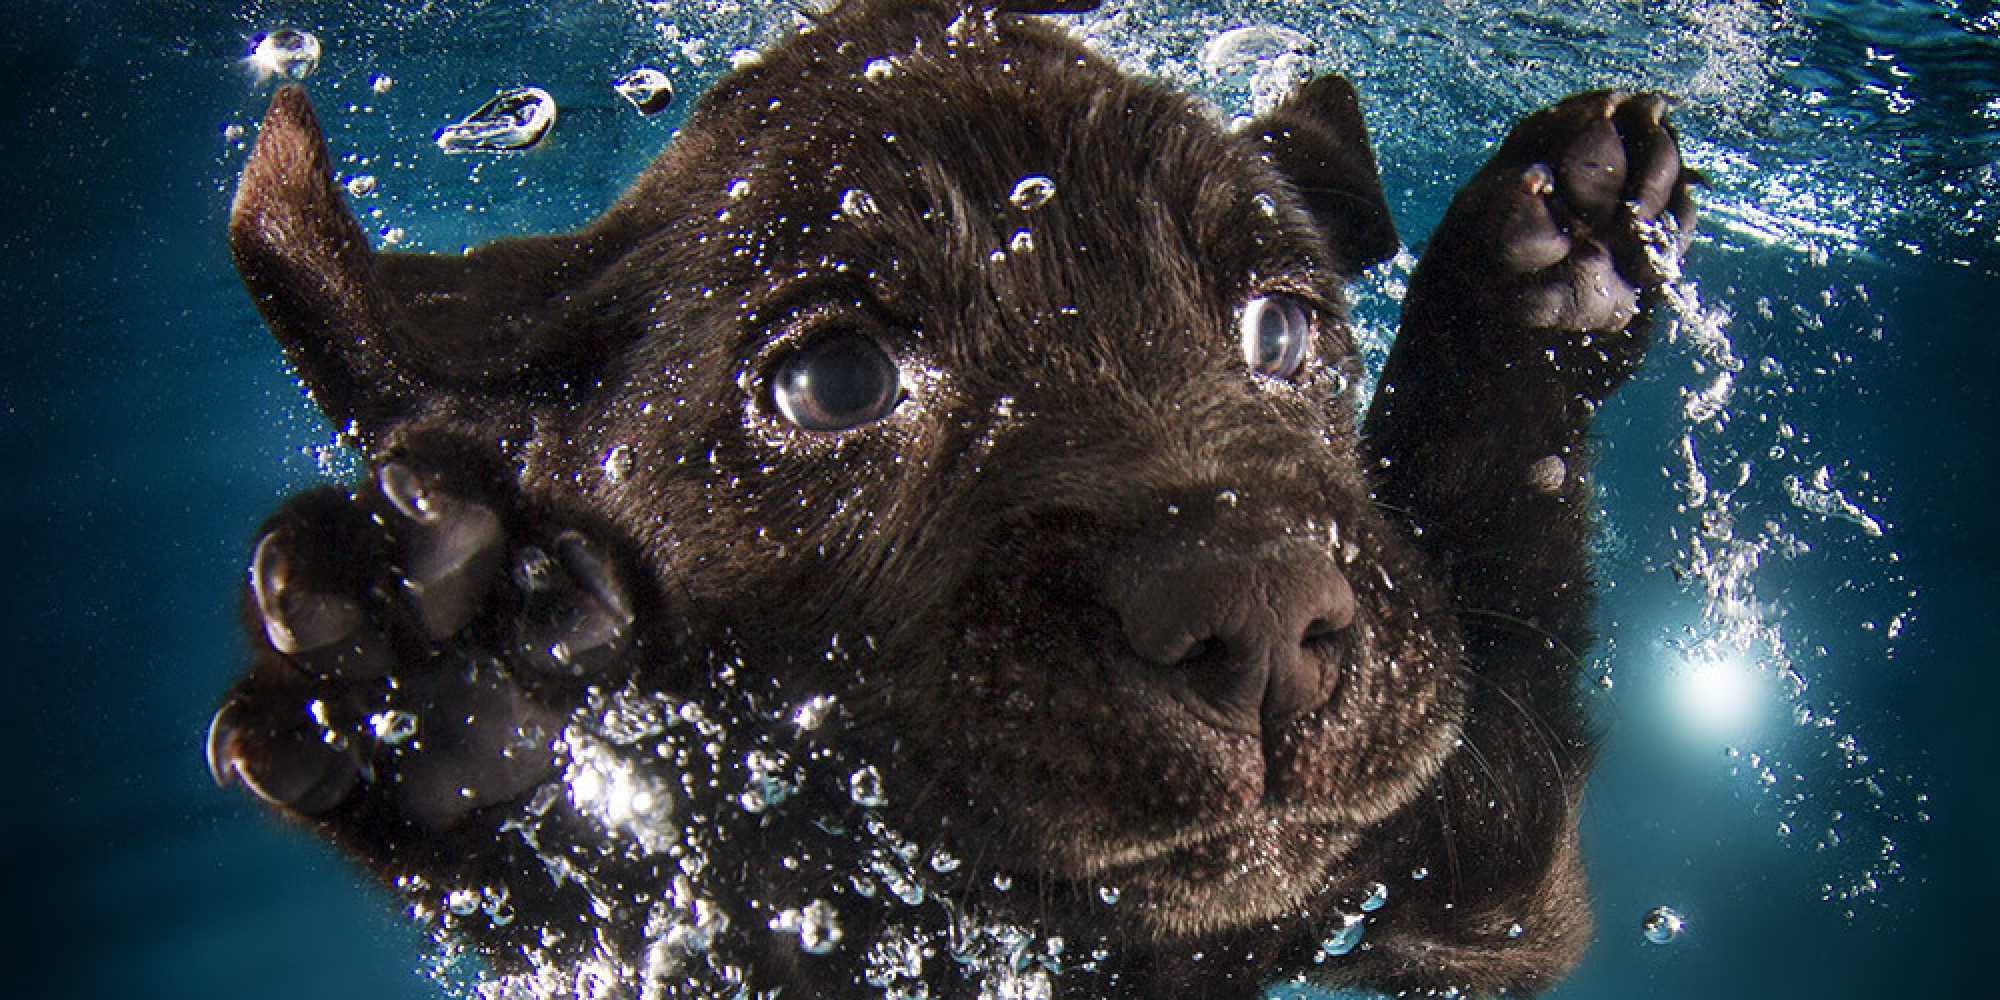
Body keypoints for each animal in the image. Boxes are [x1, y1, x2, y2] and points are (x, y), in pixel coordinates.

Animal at [211, 3, 1696, 996]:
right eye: (835, 383)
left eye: (1281, 331)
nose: (1263, 618)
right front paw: (468, 709)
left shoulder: (1483, 894)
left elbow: (1498, 607)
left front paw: (1546, 263)